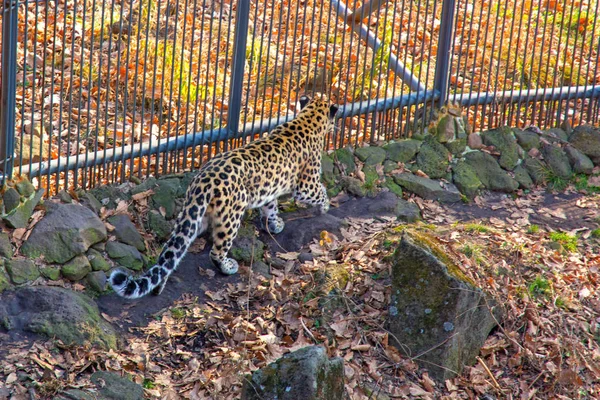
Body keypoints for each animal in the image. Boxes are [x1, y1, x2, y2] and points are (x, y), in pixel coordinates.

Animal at [110, 95, 340, 298]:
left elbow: (271, 207)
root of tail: (203, 180)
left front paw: (275, 224)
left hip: (195, 217)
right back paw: (228, 266)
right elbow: (320, 191)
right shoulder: (306, 184)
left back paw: (158, 286)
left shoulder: (270, 192)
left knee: (170, 253)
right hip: (230, 218)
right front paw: (325, 207)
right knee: (216, 251)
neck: (308, 118)